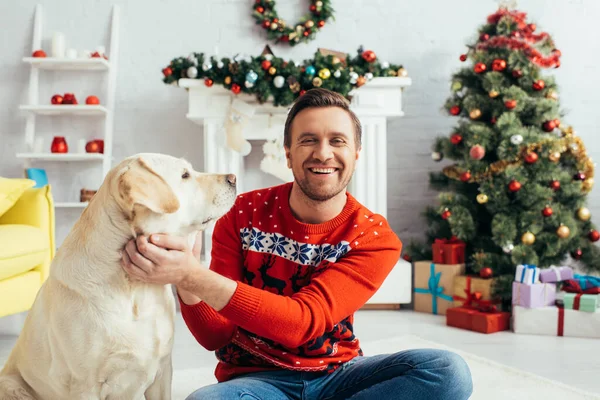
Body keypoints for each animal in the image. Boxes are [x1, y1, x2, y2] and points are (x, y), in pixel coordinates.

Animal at [0, 154, 237, 400]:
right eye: (185, 175)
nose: (233, 178)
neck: (135, 288)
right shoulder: (86, 386)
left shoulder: (163, 371)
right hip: (12, 387)